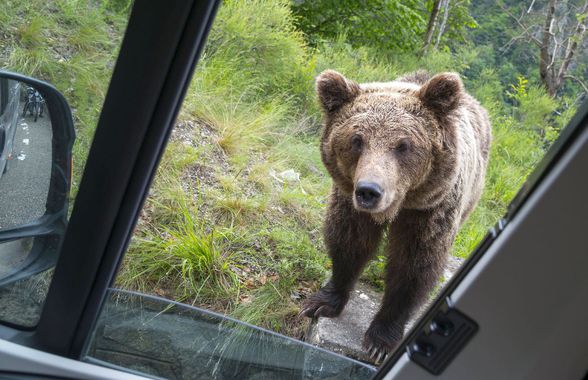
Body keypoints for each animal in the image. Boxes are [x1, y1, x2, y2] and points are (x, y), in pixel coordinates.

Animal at [300, 69, 490, 362]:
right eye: (357, 140)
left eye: (403, 145)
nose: (369, 191)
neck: (401, 204)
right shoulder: (350, 203)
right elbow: (348, 242)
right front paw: (321, 303)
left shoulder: (429, 211)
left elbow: (413, 266)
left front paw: (380, 341)